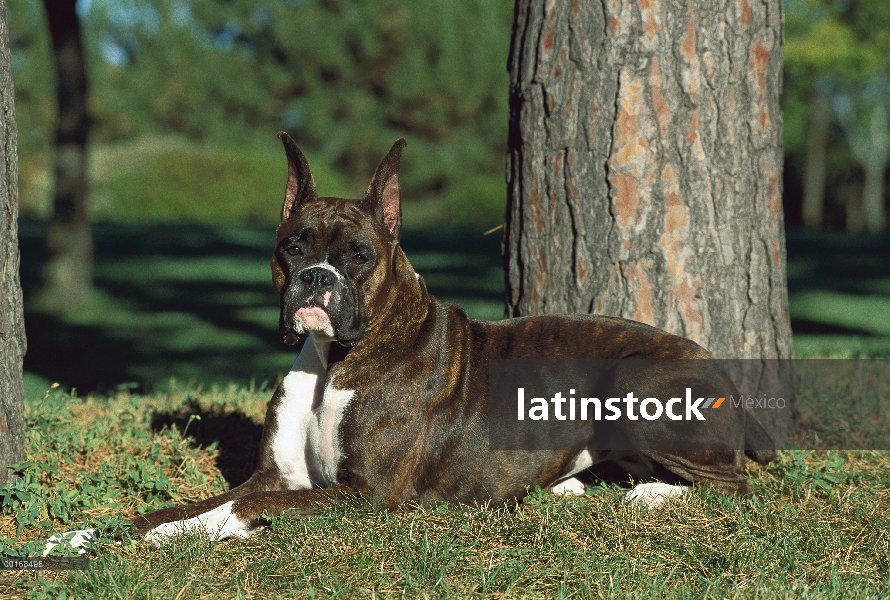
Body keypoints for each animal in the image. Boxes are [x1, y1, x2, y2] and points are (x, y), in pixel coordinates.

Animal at [135, 135, 772, 544]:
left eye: (359, 257)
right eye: (293, 246)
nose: (317, 278)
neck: (337, 358)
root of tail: (716, 364)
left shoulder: (366, 494)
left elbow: (250, 504)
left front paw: (188, 532)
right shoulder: (278, 475)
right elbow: (206, 501)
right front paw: (137, 528)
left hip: (635, 379)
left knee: (732, 487)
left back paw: (651, 496)